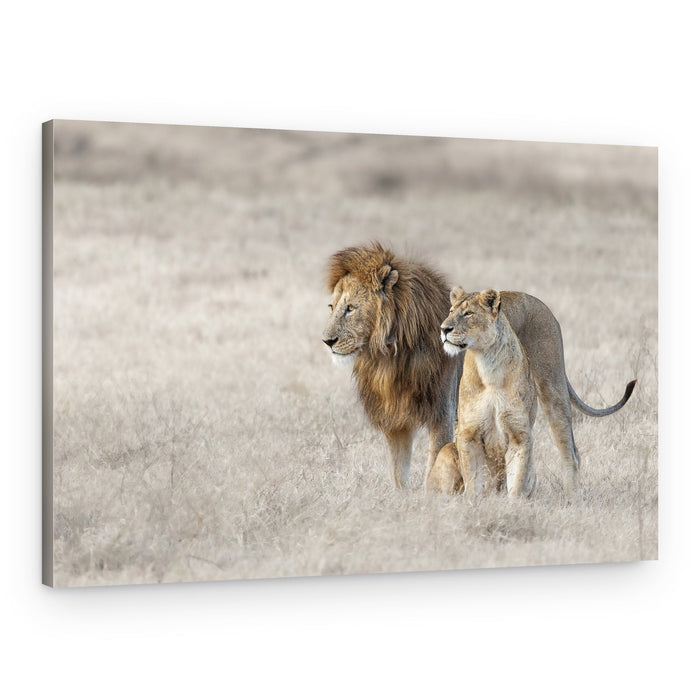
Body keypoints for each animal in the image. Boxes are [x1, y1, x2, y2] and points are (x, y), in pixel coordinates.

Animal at [426, 288, 538, 498]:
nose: (444, 329)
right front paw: (473, 501)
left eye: (468, 313)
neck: (489, 365)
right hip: (447, 451)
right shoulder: (468, 434)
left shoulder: (520, 435)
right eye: (451, 311)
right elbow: (473, 480)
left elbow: (516, 480)